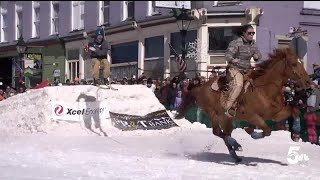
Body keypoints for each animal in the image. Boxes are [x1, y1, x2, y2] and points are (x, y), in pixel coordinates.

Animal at [175, 47, 312, 162]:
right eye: (294, 64)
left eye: (301, 62)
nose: (308, 82)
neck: (264, 90)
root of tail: (200, 87)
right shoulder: (251, 116)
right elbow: (267, 130)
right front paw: (251, 131)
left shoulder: (276, 114)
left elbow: (295, 111)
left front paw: (295, 133)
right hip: (213, 113)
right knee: (217, 132)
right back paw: (236, 145)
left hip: (226, 118)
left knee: (225, 134)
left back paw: (235, 154)